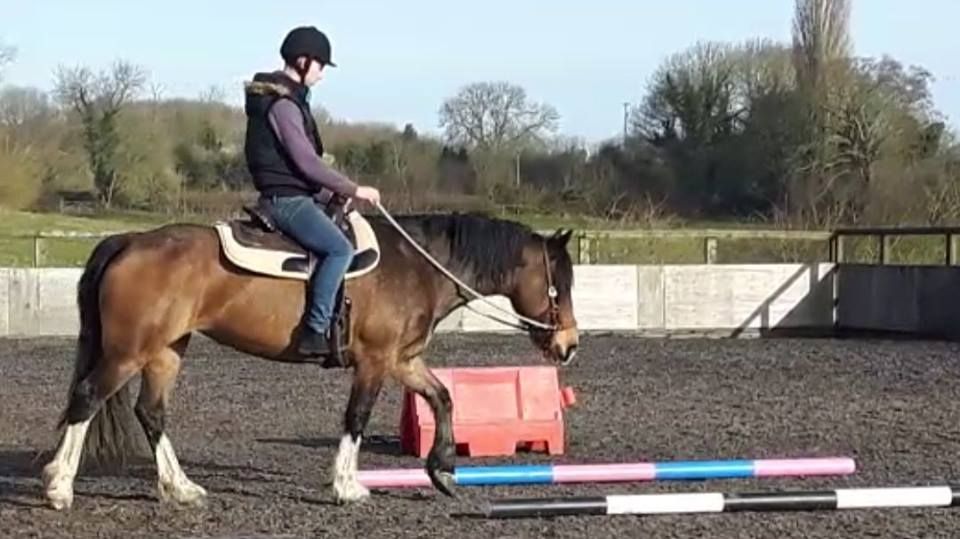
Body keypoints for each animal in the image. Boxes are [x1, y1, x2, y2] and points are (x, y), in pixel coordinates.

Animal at [41, 202, 576, 510]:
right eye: (559, 284)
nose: (568, 346)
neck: (417, 265)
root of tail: (130, 240)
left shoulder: (402, 360)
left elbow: (443, 397)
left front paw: (442, 469)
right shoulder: (375, 362)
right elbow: (356, 417)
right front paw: (346, 486)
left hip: (166, 351)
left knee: (150, 412)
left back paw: (181, 488)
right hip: (128, 352)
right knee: (87, 398)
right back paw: (59, 488)